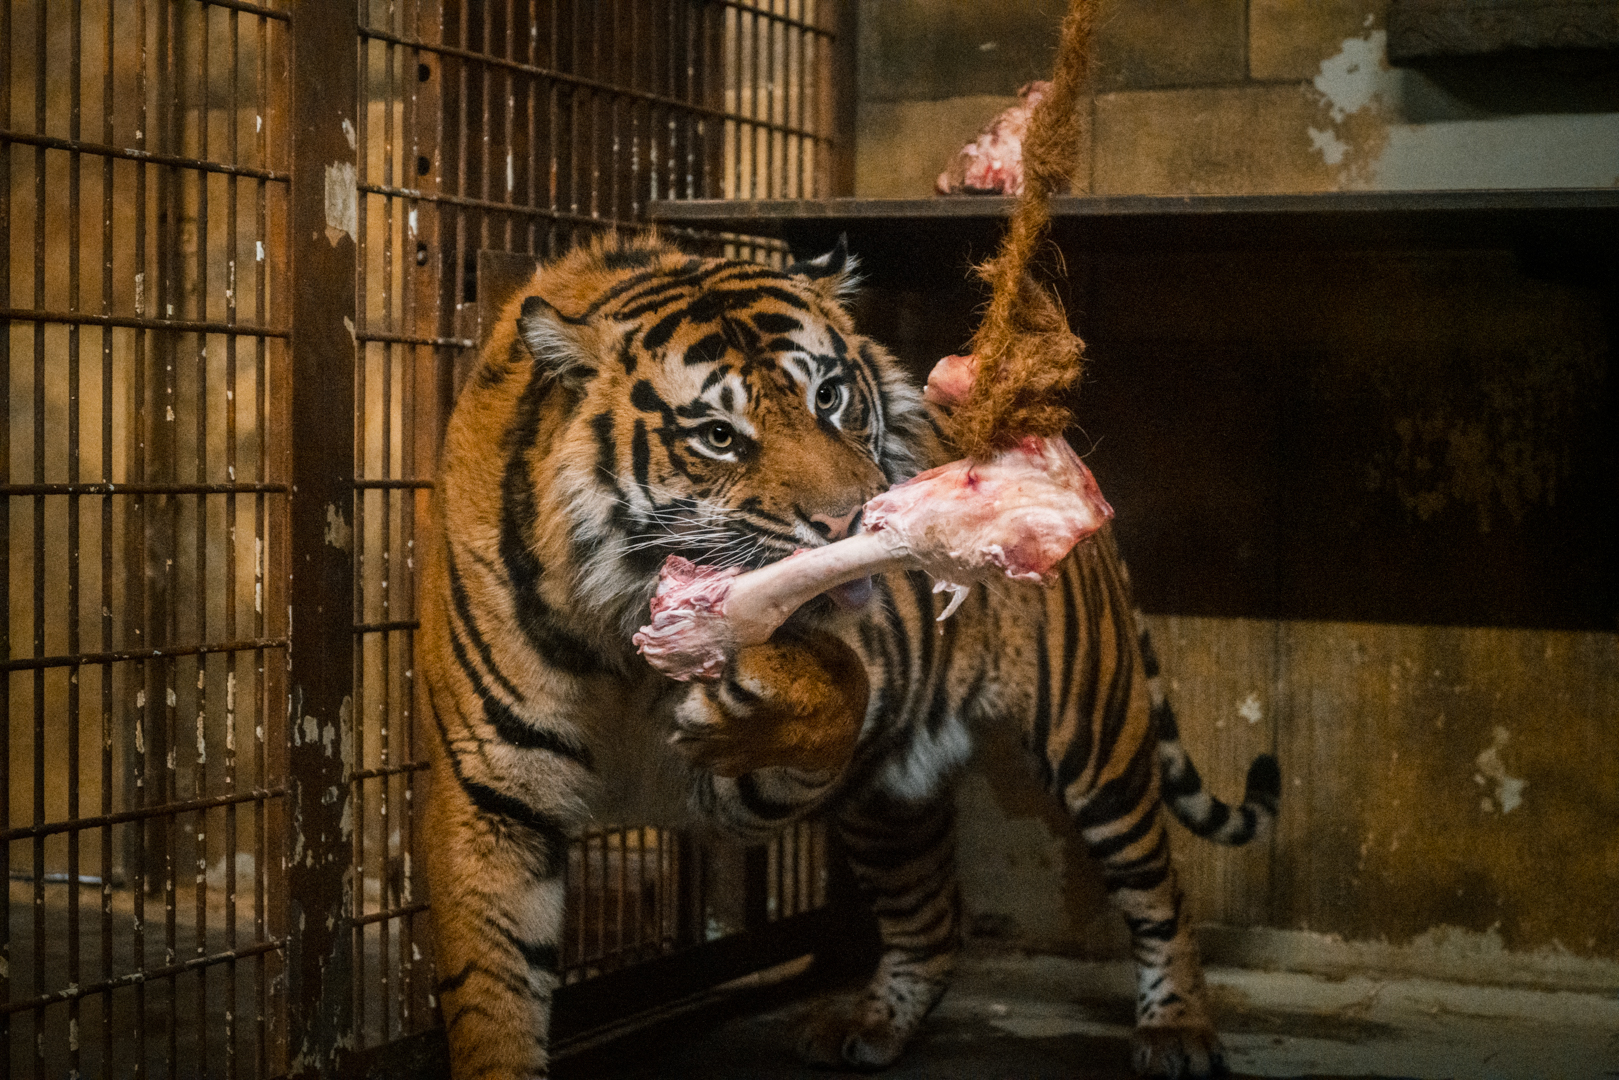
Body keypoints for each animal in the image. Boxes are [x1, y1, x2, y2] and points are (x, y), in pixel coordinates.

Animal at [416, 232, 1280, 1080]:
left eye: (827, 397)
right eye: (718, 437)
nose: (847, 521)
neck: (620, 638)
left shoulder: (767, 783)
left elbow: (843, 688)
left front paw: (733, 704)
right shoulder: (495, 798)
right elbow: (493, 997)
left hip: (1095, 741)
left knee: (1159, 894)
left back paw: (1178, 1031)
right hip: (892, 801)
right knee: (932, 922)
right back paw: (872, 1024)